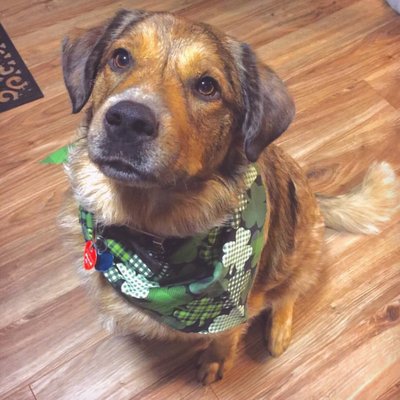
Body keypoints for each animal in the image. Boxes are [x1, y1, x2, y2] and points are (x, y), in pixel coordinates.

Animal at [60, 9, 400, 384]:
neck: (146, 230)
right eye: (120, 58)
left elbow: (227, 335)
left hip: (300, 248)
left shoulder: (236, 307)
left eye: (207, 86)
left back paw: (278, 329)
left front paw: (216, 360)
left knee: (288, 292)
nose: (128, 119)